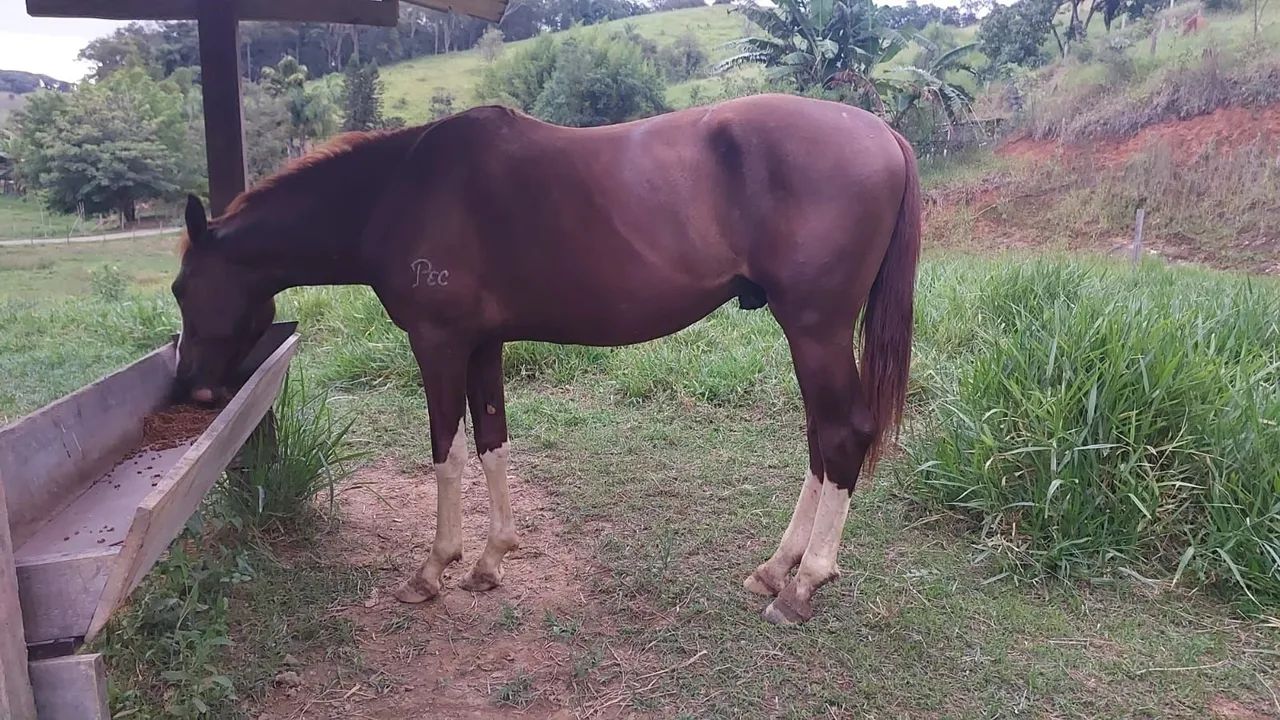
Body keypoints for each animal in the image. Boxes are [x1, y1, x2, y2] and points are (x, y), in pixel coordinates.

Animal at [172, 93, 921, 625]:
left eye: (182, 288)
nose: (191, 390)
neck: (397, 190)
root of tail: (885, 134)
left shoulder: (437, 344)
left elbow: (446, 452)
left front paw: (432, 570)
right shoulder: (482, 344)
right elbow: (492, 440)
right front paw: (490, 561)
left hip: (815, 330)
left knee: (842, 434)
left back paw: (803, 586)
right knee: (820, 441)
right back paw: (774, 569)